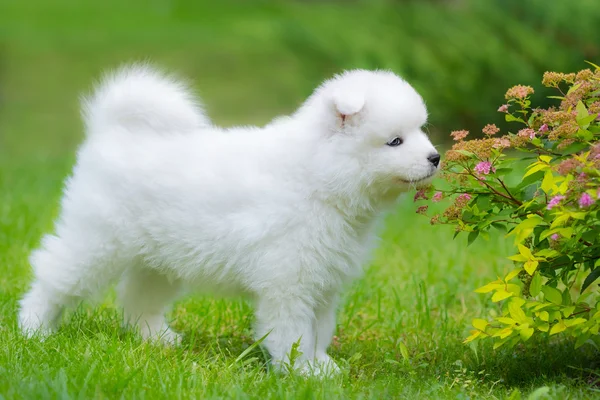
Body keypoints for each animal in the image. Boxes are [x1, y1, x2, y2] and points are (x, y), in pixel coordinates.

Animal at [19, 65, 440, 376]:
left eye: (420, 130)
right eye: (395, 141)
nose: (436, 157)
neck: (318, 177)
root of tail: (113, 133)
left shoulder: (323, 282)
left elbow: (319, 330)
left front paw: (322, 368)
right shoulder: (288, 283)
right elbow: (294, 333)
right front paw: (301, 373)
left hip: (159, 260)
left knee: (139, 300)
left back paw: (157, 339)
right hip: (96, 242)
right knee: (54, 275)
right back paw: (33, 329)